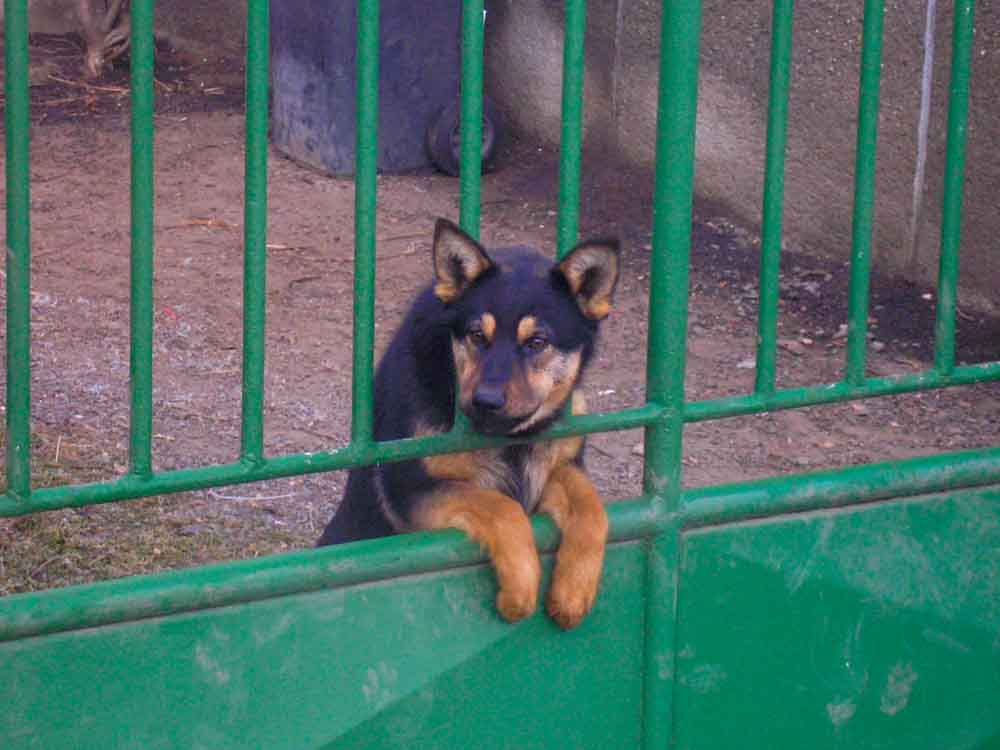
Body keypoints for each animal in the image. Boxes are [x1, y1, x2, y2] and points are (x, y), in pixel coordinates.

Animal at [320, 220, 616, 632]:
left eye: (537, 342)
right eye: (477, 336)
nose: (486, 401)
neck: (508, 440)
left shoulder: (563, 464)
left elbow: (590, 508)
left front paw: (573, 593)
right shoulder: (410, 491)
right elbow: (501, 507)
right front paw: (519, 593)